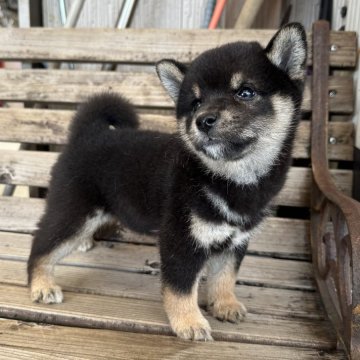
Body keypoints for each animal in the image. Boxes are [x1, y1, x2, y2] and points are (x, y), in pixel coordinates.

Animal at [28, 23, 306, 340]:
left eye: (245, 92)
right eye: (196, 103)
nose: (203, 120)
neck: (228, 178)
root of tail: (89, 134)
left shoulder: (236, 241)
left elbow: (225, 276)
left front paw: (225, 304)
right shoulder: (181, 240)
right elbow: (181, 288)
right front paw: (190, 322)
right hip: (74, 212)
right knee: (41, 246)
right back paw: (42, 285)